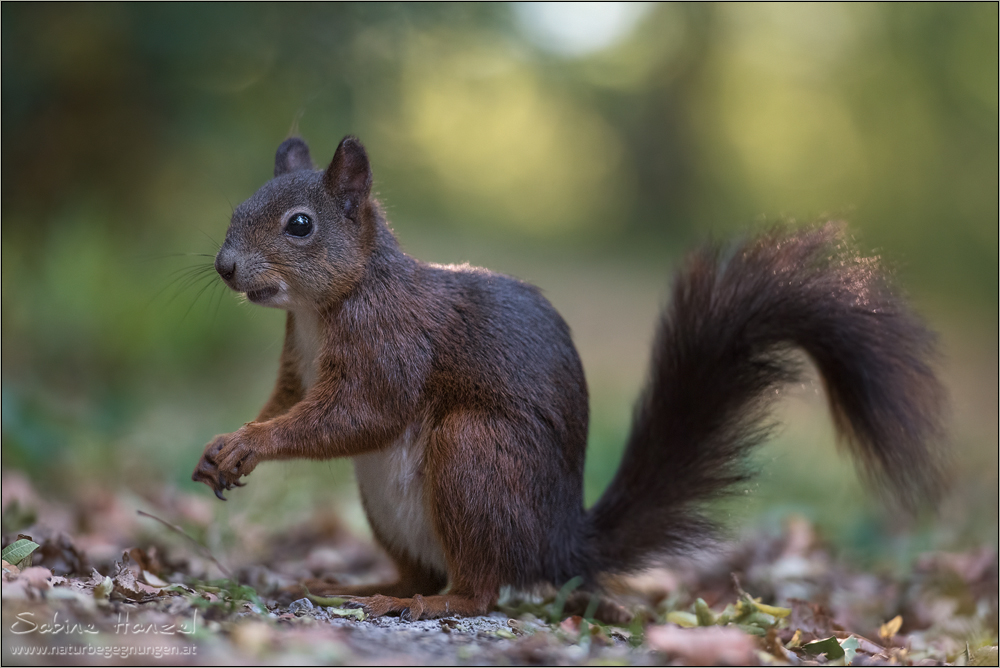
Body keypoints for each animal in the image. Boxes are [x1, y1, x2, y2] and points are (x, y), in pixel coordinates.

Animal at [191, 134, 948, 620]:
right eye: (236, 209)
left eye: (299, 225)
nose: (225, 267)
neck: (323, 307)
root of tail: (559, 545)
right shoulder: (298, 359)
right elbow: (286, 402)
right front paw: (226, 442)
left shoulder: (390, 345)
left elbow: (358, 413)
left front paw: (251, 445)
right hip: (391, 504)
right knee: (423, 568)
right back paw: (359, 586)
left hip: (475, 455)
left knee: (480, 588)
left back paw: (420, 602)